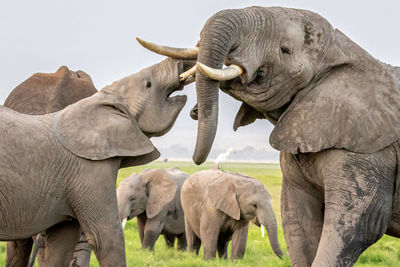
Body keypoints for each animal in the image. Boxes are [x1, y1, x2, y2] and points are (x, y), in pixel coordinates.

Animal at [139, 6, 400, 267]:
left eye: (285, 50)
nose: (194, 111)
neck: (344, 51)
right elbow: (298, 220)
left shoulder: (368, 152)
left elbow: (357, 225)